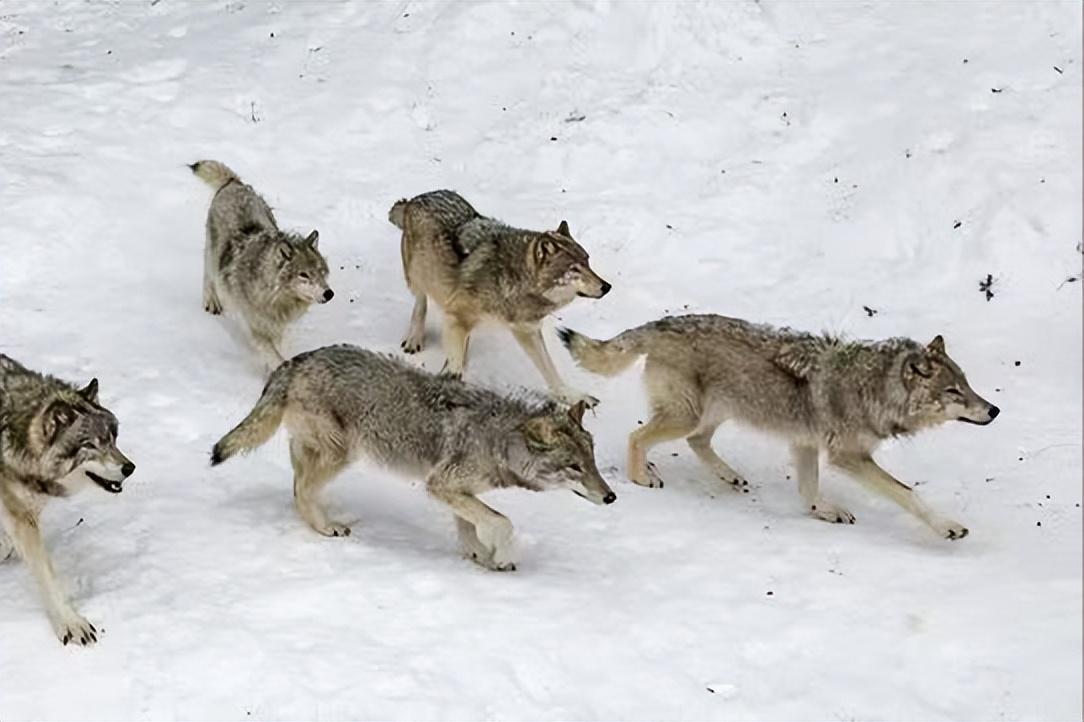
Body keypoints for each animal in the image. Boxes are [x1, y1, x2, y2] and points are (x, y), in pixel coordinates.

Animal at [0, 353, 135, 641]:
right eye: (91, 445)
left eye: (113, 439)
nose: (130, 468)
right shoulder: (21, 517)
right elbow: (47, 575)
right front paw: (71, 623)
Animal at [190, 159, 331, 368]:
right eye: (304, 275)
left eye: (321, 272)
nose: (329, 293)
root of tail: (235, 183)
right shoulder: (256, 328)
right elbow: (274, 356)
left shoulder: (276, 327)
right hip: (212, 254)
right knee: (208, 274)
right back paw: (211, 302)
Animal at [207, 342, 615, 568]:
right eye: (574, 467)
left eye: (592, 463)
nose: (611, 497)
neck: (498, 439)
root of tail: (296, 360)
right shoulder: (441, 485)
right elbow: (502, 523)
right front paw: (502, 555)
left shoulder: (457, 491)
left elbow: (471, 527)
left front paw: (480, 558)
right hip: (341, 454)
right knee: (302, 489)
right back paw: (326, 527)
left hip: (319, 450)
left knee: (296, 484)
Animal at [390, 189, 611, 405]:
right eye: (574, 269)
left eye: (587, 261)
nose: (607, 287)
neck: (515, 282)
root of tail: (416, 198)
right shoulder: (458, 314)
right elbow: (454, 366)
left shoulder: (528, 330)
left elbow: (551, 371)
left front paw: (572, 397)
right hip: (419, 276)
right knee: (421, 303)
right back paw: (415, 339)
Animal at [559, 312, 997, 537]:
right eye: (954, 391)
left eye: (968, 385)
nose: (993, 410)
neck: (873, 387)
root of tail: (660, 323)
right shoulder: (848, 458)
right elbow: (908, 494)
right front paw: (948, 527)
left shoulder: (805, 443)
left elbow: (809, 489)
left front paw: (823, 511)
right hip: (688, 416)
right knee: (638, 437)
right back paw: (642, 476)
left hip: (716, 413)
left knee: (697, 442)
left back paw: (729, 475)